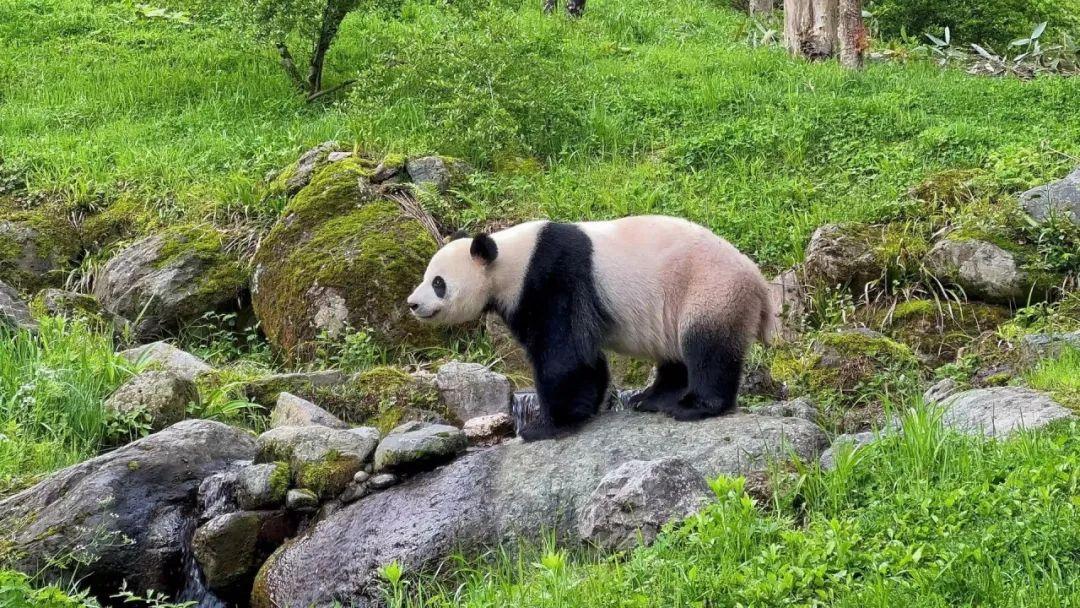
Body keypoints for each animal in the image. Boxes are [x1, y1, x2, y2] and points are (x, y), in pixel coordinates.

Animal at [407, 215, 776, 441]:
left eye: (438, 283)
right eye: (426, 277)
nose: (412, 303)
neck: (510, 259)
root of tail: (760, 284)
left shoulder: (553, 276)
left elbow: (564, 355)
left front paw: (545, 426)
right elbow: (584, 358)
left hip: (710, 290)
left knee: (707, 350)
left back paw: (694, 406)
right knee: (676, 358)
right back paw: (650, 399)